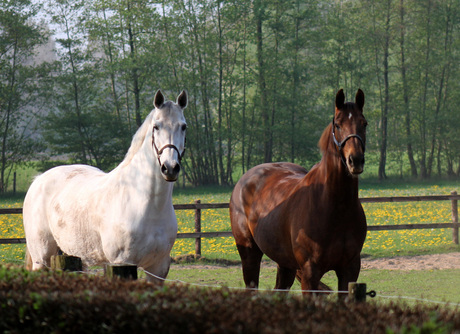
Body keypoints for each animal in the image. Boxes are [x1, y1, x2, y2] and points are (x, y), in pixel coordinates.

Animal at [22, 89, 188, 282]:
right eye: (156, 126)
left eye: (183, 126)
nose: (170, 168)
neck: (145, 203)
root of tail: (38, 179)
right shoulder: (121, 263)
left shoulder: (158, 268)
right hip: (42, 259)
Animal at [229, 89, 366, 294]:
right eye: (338, 124)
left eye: (364, 123)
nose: (355, 160)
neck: (334, 207)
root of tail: (244, 180)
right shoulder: (310, 273)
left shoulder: (349, 269)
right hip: (249, 254)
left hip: (285, 263)